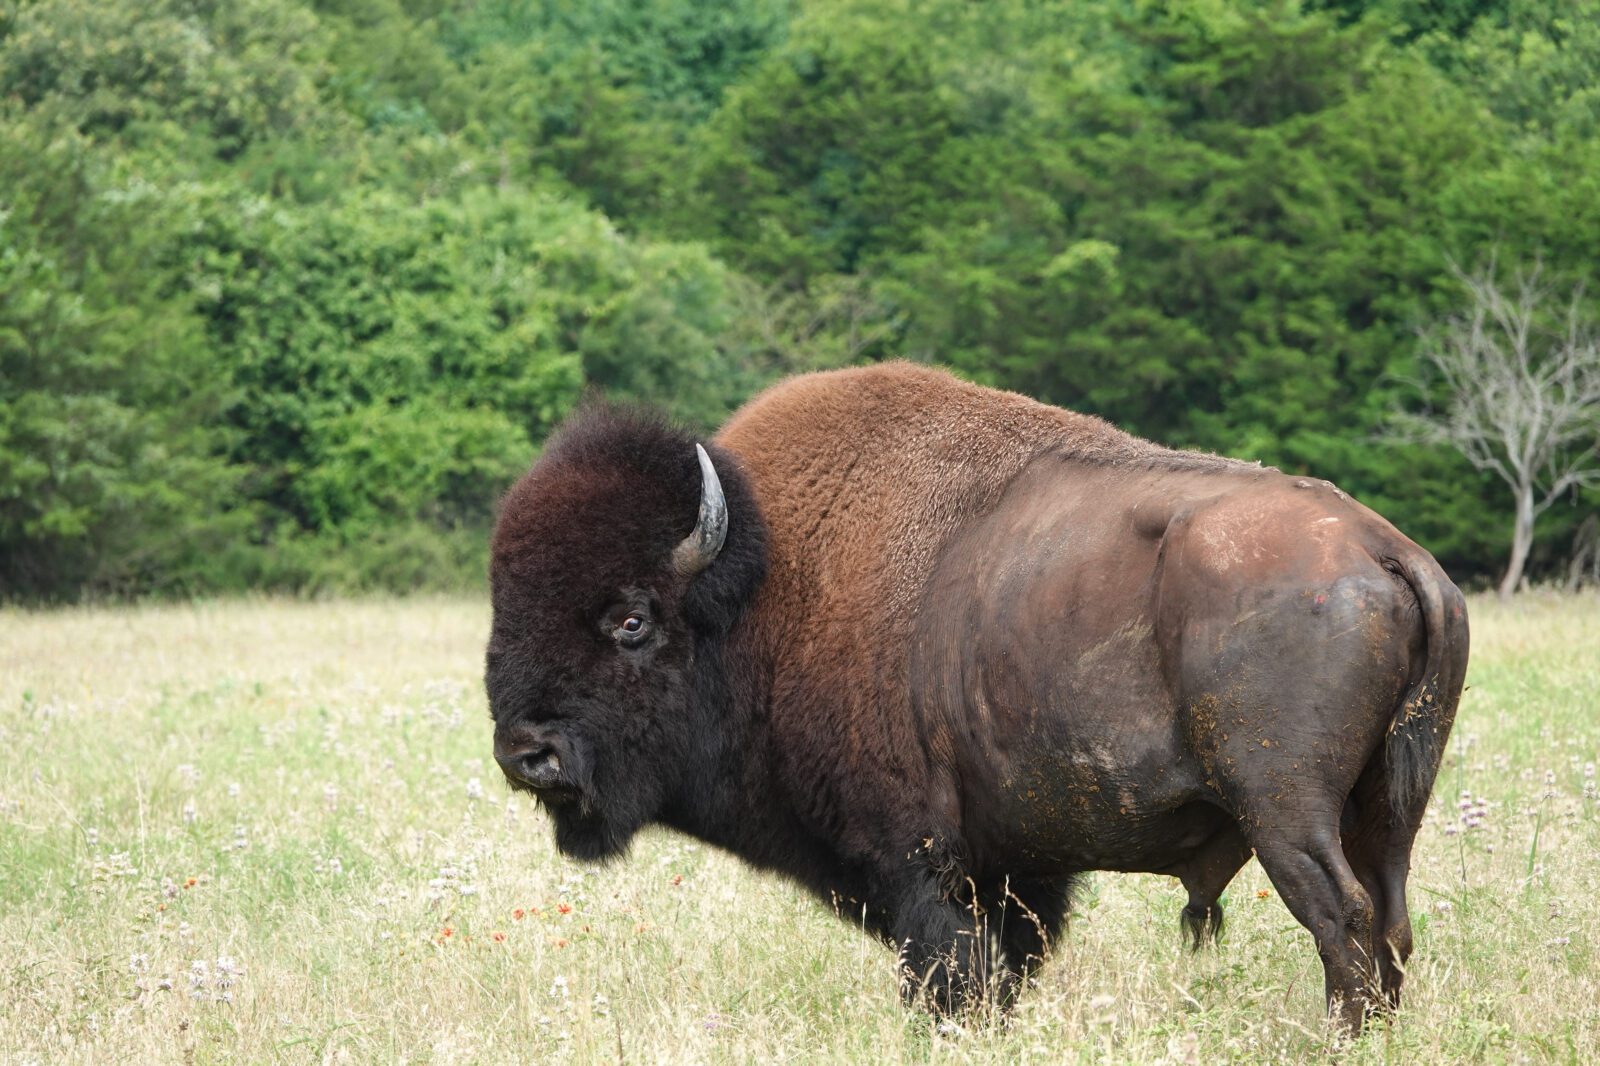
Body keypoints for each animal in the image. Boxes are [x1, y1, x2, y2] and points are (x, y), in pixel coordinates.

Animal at [486, 363, 1468, 1030]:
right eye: (505, 602)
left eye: (632, 619)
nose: (526, 752)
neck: (769, 586)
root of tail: (1386, 550)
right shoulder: (1010, 870)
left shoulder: (920, 861)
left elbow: (948, 975)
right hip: (1389, 809)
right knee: (1390, 922)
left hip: (1286, 811)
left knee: (1341, 918)